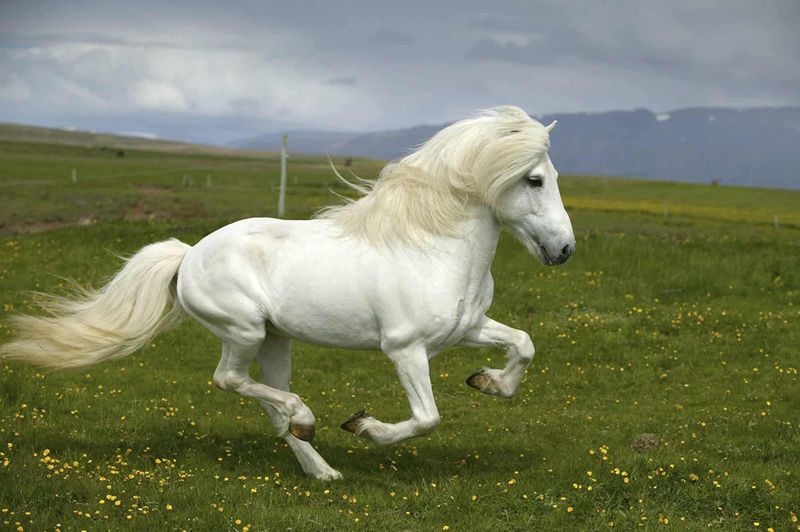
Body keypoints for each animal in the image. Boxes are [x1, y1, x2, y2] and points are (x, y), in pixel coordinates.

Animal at [0, 106, 576, 480]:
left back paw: (323, 469)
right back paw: (310, 421)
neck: (433, 247)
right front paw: (365, 427)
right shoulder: (405, 348)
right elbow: (427, 419)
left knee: (270, 408)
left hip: (276, 340)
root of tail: (188, 255)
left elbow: (524, 344)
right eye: (534, 180)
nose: (564, 249)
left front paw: (488, 382)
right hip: (244, 330)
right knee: (231, 381)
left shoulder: (467, 329)